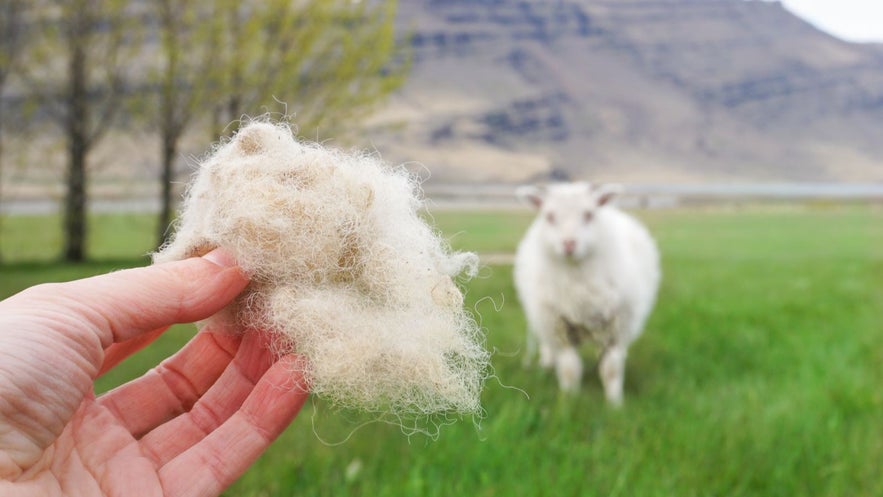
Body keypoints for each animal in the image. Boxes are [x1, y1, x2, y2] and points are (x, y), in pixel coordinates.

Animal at [516, 180, 660, 404]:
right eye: (549, 216)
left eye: (589, 214)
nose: (569, 243)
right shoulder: (559, 328)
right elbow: (569, 369)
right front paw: (569, 400)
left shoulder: (616, 328)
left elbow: (611, 369)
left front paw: (614, 403)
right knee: (547, 344)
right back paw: (547, 363)